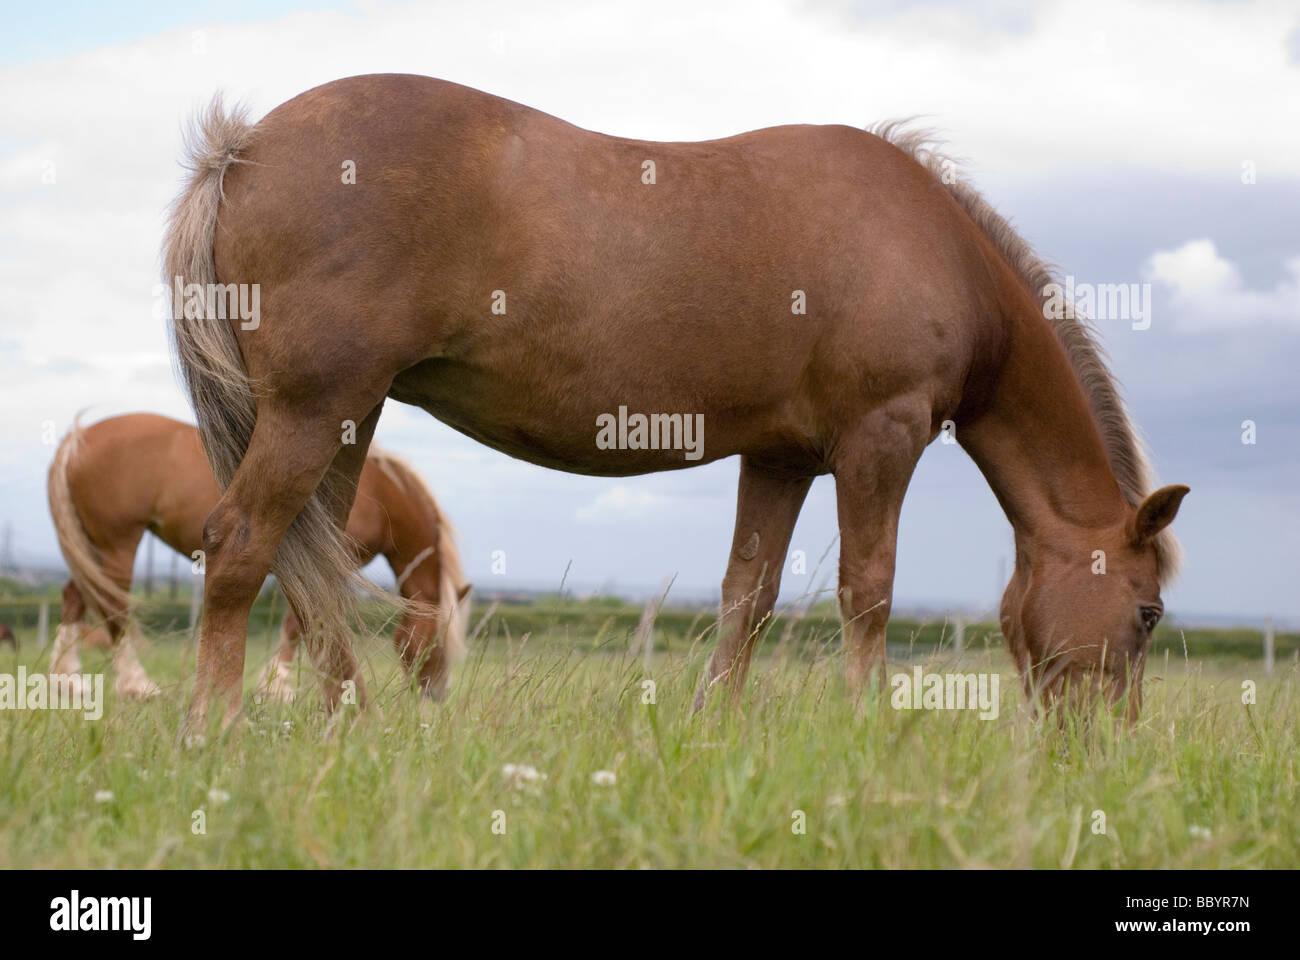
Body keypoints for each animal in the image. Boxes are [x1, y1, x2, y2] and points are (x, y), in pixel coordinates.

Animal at [47, 411, 473, 697]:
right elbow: (298, 622)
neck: (379, 490)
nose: (436, 694)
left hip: (93, 546)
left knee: (75, 596)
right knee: (112, 604)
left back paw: (68, 681)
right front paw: (277, 687)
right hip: (118, 543)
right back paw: (137, 684)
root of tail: (78, 437)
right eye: (439, 639)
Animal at [162, 74, 1190, 728]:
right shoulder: (880, 440)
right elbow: (868, 593)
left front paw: (712, 725)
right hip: (311, 411)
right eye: (1147, 614)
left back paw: (353, 729)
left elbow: (750, 596)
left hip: (345, 419)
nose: (1110, 745)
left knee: (314, 572)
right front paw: (863, 727)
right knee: (242, 546)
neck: (934, 248)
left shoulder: (781, 456)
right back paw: (212, 731)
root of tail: (244, 149)